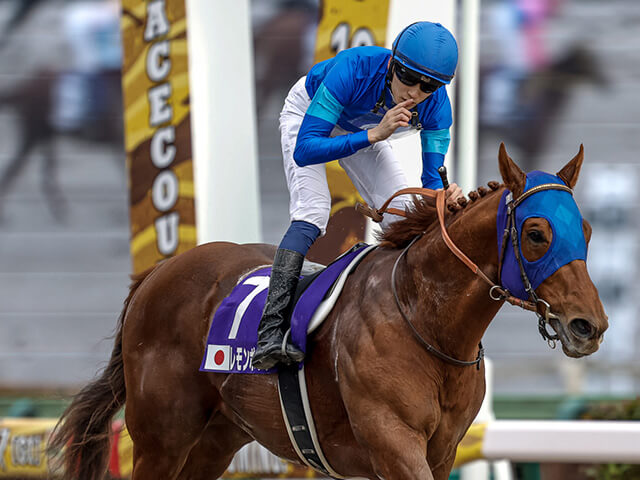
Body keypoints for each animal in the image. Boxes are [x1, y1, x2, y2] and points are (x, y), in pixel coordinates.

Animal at [48, 143, 608, 480]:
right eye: (536, 233)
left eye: (586, 229)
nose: (590, 326)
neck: (426, 323)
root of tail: (158, 272)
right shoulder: (392, 443)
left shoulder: (443, 449)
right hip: (161, 437)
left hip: (217, 438)